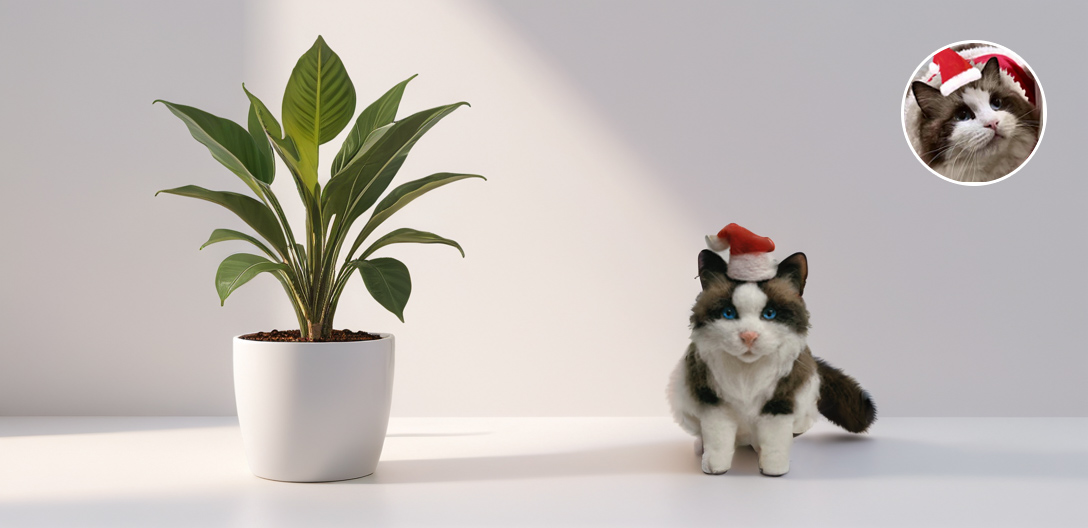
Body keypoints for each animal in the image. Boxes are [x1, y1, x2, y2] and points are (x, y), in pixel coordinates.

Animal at [661, 249, 874, 474]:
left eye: (769, 314)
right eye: (728, 313)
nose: (749, 336)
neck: (747, 374)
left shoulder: (781, 400)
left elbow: (775, 440)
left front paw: (774, 469)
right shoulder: (712, 400)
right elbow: (718, 439)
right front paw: (715, 467)